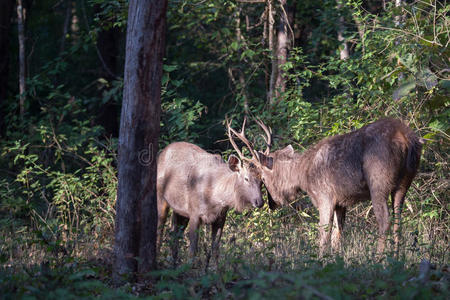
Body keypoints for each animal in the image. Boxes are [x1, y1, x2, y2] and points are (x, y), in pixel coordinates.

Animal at [157, 118, 264, 266]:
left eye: (262, 181)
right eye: (246, 178)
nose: (260, 202)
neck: (215, 196)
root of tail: (162, 152)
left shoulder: (220, 217)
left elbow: (215, 250)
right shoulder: (194, 212)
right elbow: (192, 251)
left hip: (179, 210)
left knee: (174, 232)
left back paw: (173, 262)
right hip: (161, 196)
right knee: (160, 228)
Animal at [248, 118, 424, 254]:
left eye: (262, 177)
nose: (271, 203)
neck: (302, 176)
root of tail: (407, 139)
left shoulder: (324, 197)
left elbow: (323, 236)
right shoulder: (341, 203)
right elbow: (337, 236)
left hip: (379, 183)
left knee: (385, 221)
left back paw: (379, 258)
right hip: (404, 183)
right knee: (398, 221)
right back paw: (396, 257)